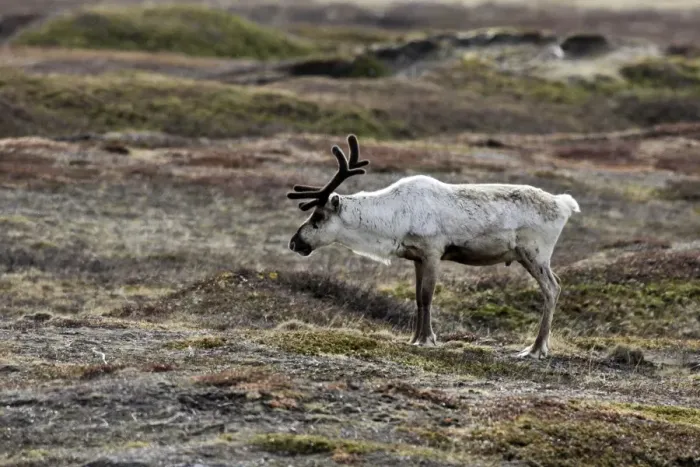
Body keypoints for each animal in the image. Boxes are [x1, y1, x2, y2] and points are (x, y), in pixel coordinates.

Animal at [286, 134, 580, 358]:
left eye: (318, 217)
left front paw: (426, 339)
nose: (294, 242)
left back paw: (536, 349)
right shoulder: (416, 257)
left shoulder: (432, 252)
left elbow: (427, 296)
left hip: (534, 254)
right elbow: (417, 297)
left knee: (553, 288)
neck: (394, 218)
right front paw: (414, 338)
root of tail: (564, 204)